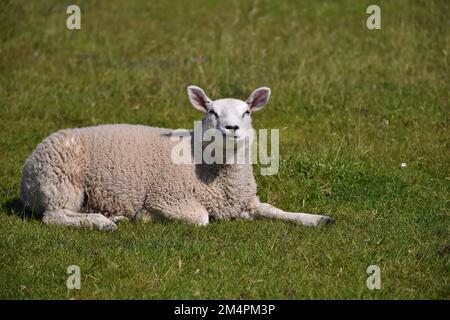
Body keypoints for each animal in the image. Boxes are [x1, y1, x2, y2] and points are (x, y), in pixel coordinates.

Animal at [19, 85, 332, 230]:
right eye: (211, 112)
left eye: (247, 112)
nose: (232, 128)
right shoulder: (166, 197)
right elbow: (202, 218)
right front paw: (146, 217)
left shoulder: (246, 200)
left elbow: (275, 210)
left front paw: (316, 218)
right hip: (61, 182)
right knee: (54, 217)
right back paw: (102, 223)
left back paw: (110, 216)